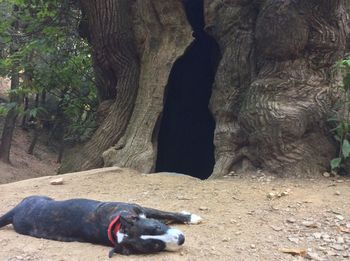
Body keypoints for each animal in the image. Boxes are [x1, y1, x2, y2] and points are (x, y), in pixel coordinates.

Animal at [0, 195, 201, 254]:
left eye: (157, 227)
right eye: (155, 246)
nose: (181, 239)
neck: (119, 227)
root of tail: (15, 210)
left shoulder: (140, 210)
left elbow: (165, 213)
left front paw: (190, 217)